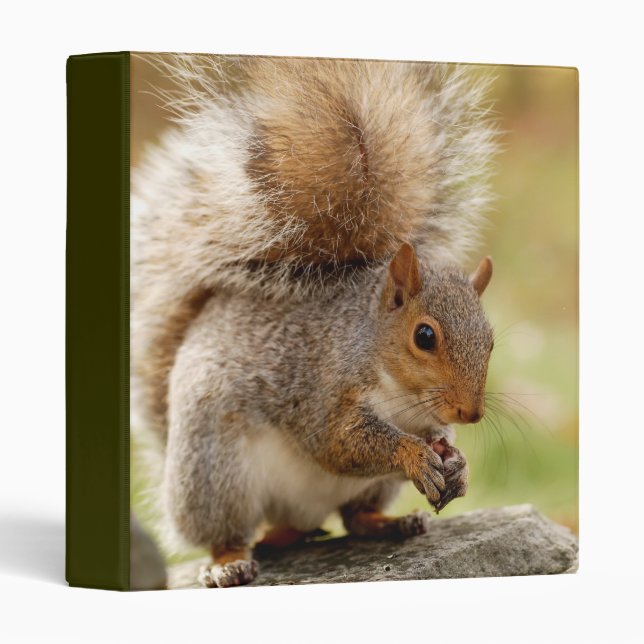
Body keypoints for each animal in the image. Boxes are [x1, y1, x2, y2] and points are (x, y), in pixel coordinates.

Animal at [132, 55, 498, 588]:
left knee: (351, 517)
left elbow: (432, 443)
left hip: (369, 489)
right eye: (424, 335)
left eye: (491, 341)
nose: (470, 414)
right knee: (226, 532)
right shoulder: (321, 389)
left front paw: (460, 464)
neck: (400, 395)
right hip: (215, 473)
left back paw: (387, 523)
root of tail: (297, 516)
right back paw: (230, 561)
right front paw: (412, 454)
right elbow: (339, 443)